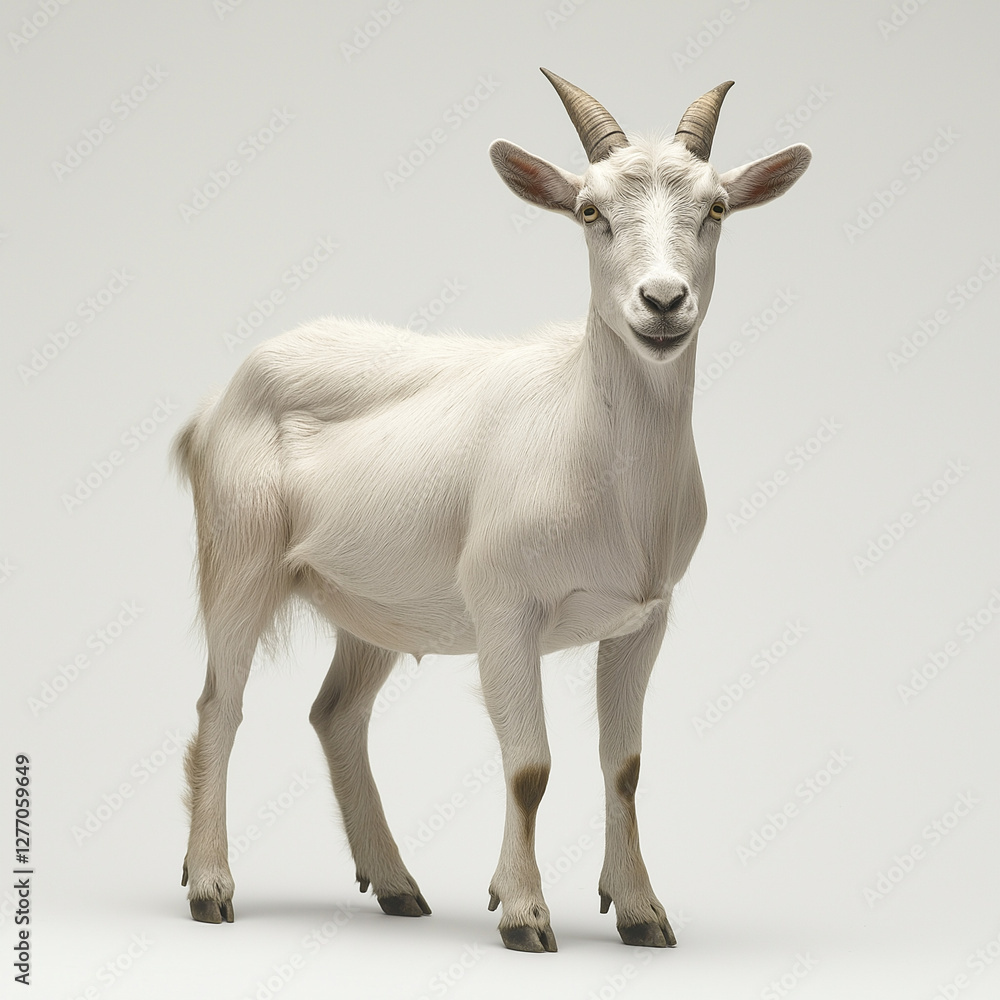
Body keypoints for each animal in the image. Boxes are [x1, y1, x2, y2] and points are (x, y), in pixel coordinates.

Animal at [174, 69, 811, 952]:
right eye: (590, 212)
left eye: (716, 207)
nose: (662, 301)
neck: (591, 448)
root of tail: (214, 404)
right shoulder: (505, 607)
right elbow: (530, 766)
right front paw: (523, 913)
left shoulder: (643, 618)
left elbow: (625, 767)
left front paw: (641, 911)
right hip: (239, 554)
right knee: (220, 706)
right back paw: (210, 886)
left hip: (373, 600)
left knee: (336, 713)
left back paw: (396, 884)